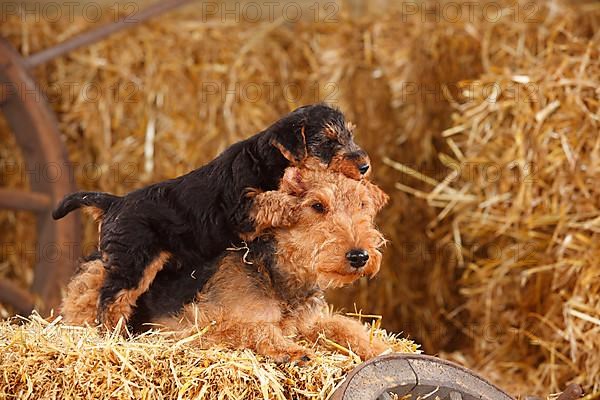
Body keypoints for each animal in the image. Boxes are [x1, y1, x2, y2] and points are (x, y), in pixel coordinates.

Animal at [55, 102, 370, 328]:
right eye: (328, 141)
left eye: (350, 135)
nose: (365, 165)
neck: (269, 160)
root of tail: (114, 202)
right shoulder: (240, 208)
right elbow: (271, 199)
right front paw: (294, 204)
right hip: (133, 262)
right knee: (110, 299)